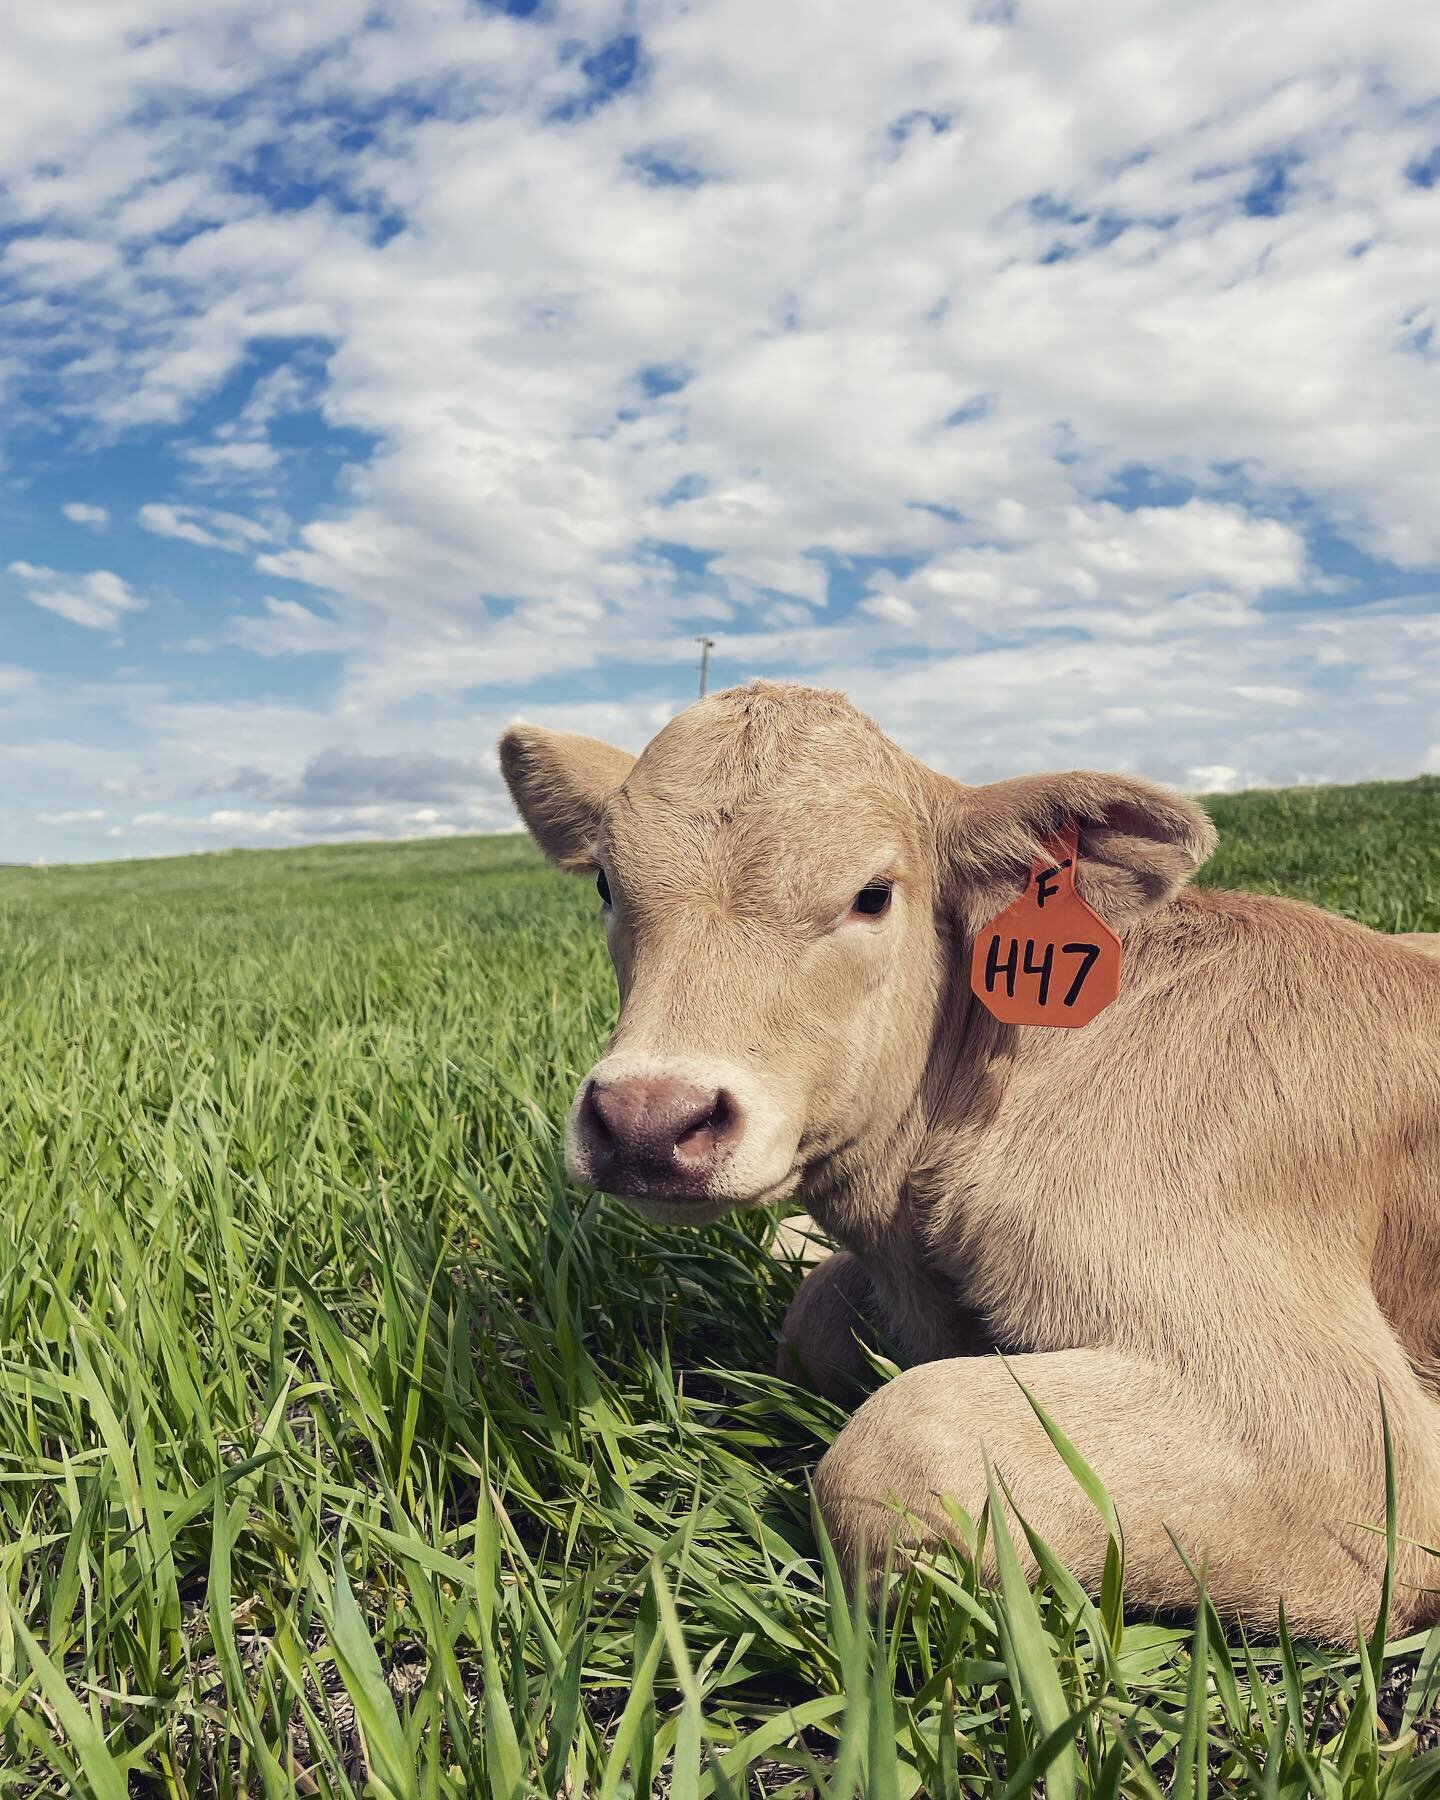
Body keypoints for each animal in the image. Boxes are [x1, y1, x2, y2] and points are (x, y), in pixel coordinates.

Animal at [496, 680, 1440, 1641]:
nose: (648, 1121)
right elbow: (814, 1313)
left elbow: (897, 1444)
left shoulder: (1351, 1449)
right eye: (607, 884)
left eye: (873, 896)